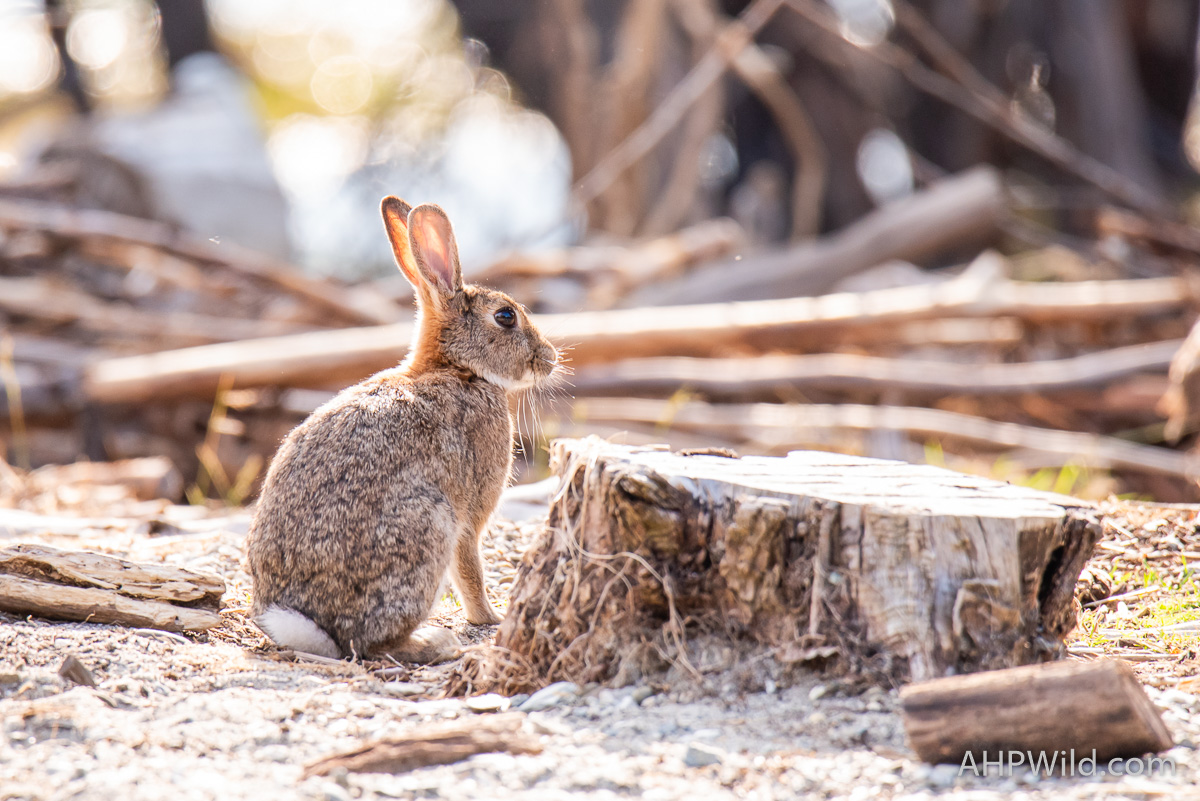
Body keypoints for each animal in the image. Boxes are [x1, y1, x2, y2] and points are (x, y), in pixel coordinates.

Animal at [246, 197, 559, 663]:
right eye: (506, 317)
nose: (550, 358)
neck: (457, 368)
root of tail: (313, 626)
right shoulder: (470, 514)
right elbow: (470, 568)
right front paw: (491, 618)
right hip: (428, 524)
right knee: (375, 640)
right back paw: (436, 642)